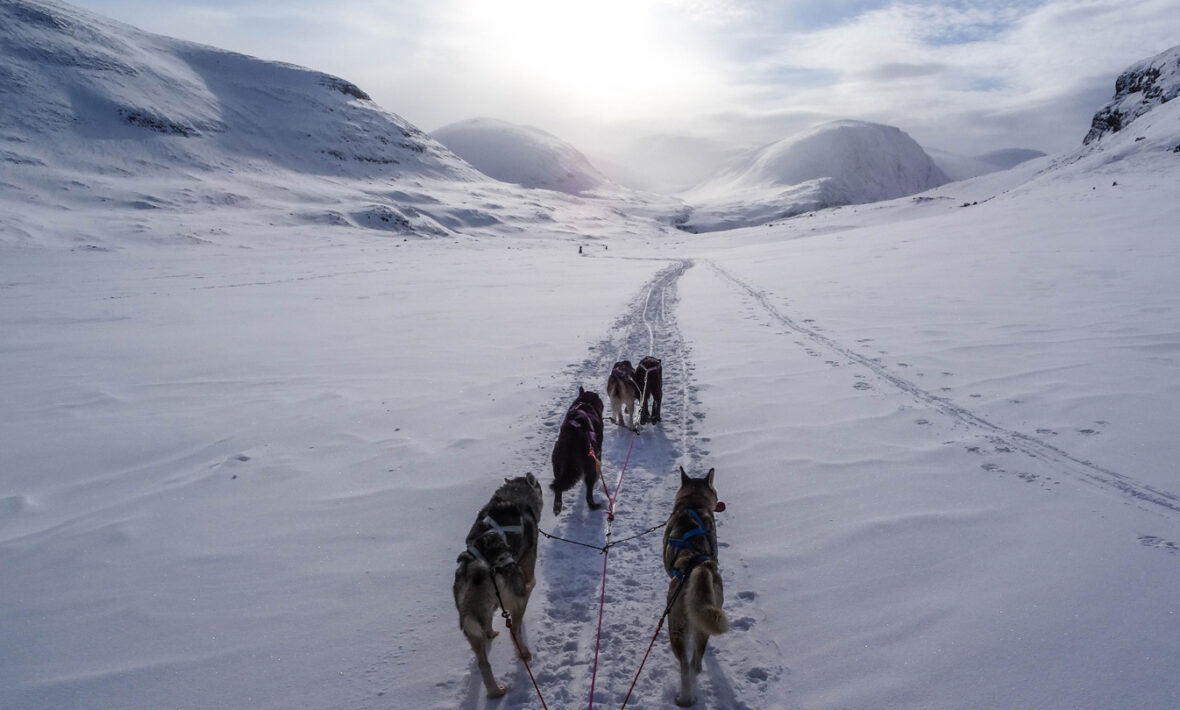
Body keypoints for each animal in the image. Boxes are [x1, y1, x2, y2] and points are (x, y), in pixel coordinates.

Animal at [450, 471, 542, 693]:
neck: (515, 496)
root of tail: (477, 566)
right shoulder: (527, 574)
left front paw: (491, 631)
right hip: (516, 597)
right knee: (515, 631)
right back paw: (524, 653)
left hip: (471, 620)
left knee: (483, 662)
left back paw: (494, 692)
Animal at [552, 386, 608, 514]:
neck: (585, 403)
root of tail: (573, 438)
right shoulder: (598, 452)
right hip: (590, 463)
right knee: (588, 495)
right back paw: (594, 506)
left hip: (557, 464)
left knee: (558, 487)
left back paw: (557, 505)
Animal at [665, 464, 726, 702]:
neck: (693, 505)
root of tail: (698, 567)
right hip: (706, 621)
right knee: (696, 663)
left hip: (675, 628)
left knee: (685, 666)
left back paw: (684, 698)